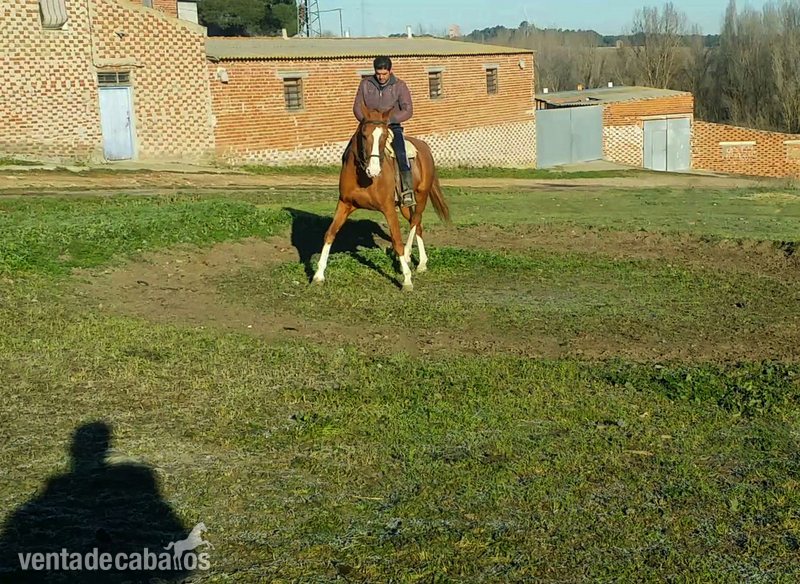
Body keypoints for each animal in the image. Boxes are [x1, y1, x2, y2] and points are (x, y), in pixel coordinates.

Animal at [311, 103, 451, 291]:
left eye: (384, 136)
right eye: (364, 134)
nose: (374, 170)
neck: (365, 178)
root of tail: (424, 147)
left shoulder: (388, 208)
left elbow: (397, 241)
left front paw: (407, 280)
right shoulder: (344, 204)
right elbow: (330, 234)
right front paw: (318, 275)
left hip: (421, 196)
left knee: (415, 221)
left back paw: (411, 258)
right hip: (404, 205)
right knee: (417, 223)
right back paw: (421, 262)